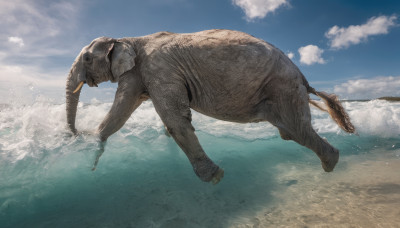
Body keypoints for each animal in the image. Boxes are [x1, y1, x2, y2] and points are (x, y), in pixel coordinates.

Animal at [66, 29, 356, 184]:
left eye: (87, 58)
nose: (75, 134)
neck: (130, 38)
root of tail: (305, 79)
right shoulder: (140, 73)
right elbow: (124, 111)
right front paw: (95, 145)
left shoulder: (158, 70)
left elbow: (175, 118)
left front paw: (216, 178)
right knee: (292, 133)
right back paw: (331, 163)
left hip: (284, 88)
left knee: (297, 130)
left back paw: (331, 164)